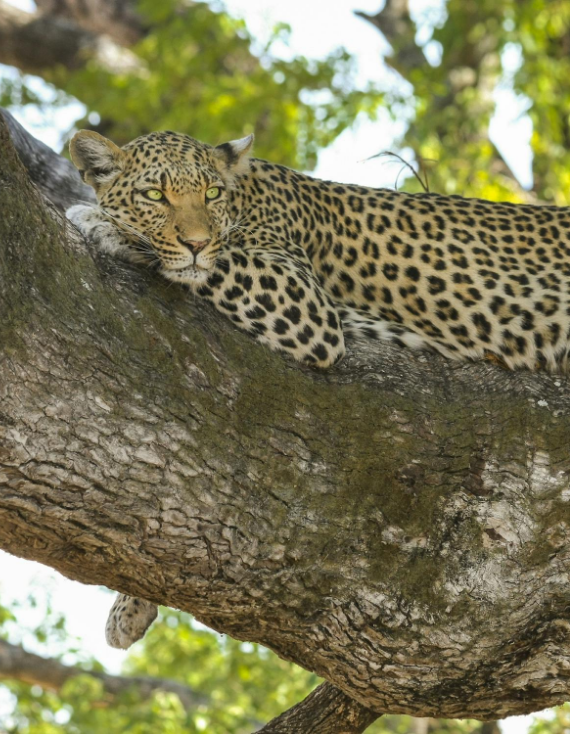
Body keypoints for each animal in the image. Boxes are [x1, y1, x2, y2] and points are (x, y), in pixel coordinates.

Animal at [66, 128, 570, 647]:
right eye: (153, 195)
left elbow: (217, 262)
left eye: (211, 193)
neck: (244, 198)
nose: (195, 242)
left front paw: (103, 223)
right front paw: (129, 607)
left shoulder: (304, 302)